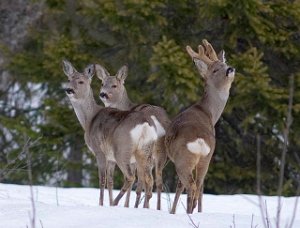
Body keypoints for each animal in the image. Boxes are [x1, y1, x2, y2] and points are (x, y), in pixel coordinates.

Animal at [62, 60, 158, 208]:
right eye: (68, 79)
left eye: (81, 81)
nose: (69, 90)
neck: (89, 120)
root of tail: (145, 125)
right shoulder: (110, 157)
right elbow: (110, 181)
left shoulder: (99, 150)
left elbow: (102, 179)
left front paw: (101, 204)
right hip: (144, 152)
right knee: (149, 180)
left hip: (122, 149)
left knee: (131, 177)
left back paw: (115, 203)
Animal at [95, 64, 171, 210]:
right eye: (102, 83)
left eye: (114, 85)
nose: (103, 94)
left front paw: (126, 205)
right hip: (161, 153)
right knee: (158, 181)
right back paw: (156, 208)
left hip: (144, 152)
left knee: (143, 181)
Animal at [165, 39, 236, 214]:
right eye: (216, 69)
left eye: (225, 64)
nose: (230, 69)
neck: (209, 112)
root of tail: (199, 141)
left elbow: (179, 186)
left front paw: (172, 211)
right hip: (205, 158)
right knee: (198, 186)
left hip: (183, 160)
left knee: (190, 186)